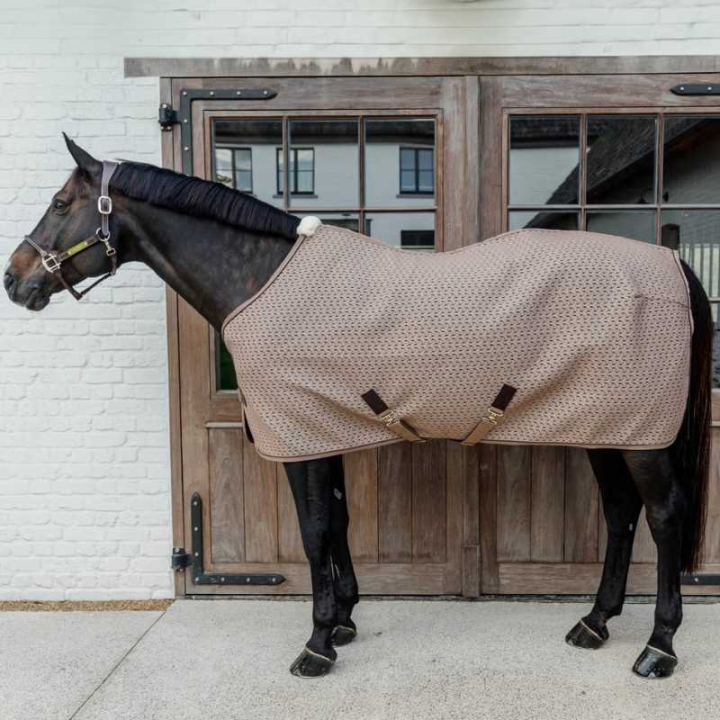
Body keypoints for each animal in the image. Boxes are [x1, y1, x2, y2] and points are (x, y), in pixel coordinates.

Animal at [4, 135, 712, 680]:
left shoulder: (299, 437)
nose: (15, 280)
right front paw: (343, 620)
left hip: (642, 438)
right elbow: (338, 524)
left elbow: (315, 530)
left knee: (664, 516)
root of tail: (671, 263)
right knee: (621, 514)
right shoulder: (324, 431)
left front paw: (317, 645)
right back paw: (595, 622)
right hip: (608, 428)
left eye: (61, 203)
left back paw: (658, 648)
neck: (263, 277)